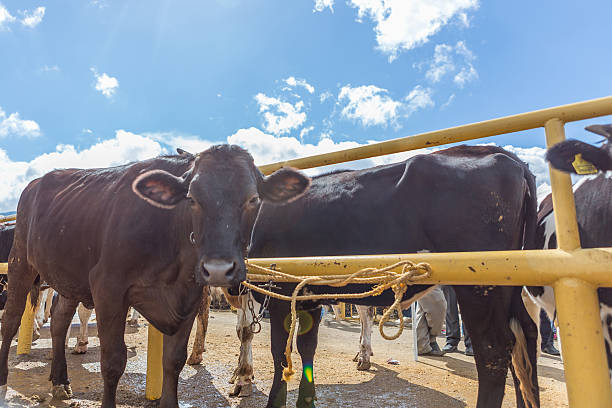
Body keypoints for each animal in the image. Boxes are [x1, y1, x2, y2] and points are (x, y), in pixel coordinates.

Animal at [0, 147, 306, 408]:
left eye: (254, 199)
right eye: (191, 199)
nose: (218, 269)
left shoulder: (189, 297)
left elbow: (173, 361)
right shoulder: (108, 288)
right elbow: (113, 361)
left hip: (69, 277)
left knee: (60, 320)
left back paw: (60, 381)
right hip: (19, 263)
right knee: (11, 320)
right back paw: (4, 379)